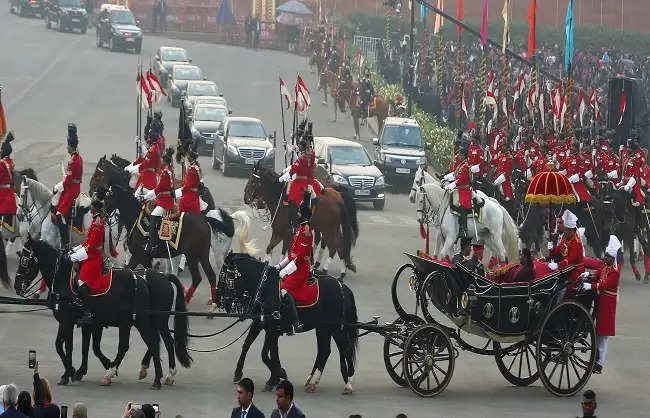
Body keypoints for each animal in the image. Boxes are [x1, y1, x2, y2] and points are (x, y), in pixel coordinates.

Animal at [13, 238, 191, 388]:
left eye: (25, 260)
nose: (17, 286)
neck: (64, 280)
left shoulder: (69, 321)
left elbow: (62, 346)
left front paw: (70, 372)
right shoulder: (83, 323)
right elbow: (80, 347)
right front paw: (74, 371)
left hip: (145, 320)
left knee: (155, 342)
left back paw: (156, 377)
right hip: (135, 322)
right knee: (148, 343)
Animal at [219, 253, 360, 394]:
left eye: (225, 276)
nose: (222, 301)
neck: (265, 287)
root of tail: (343, 288)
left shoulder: (272, 329)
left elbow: (270, 352)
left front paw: (274, 378)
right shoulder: (260, 324)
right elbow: (250, 346)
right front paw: (240, 372)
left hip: (336, 328)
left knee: (345, 350)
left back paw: (349, 383)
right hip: (323, 328)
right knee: (324, 351)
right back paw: (312, 381)